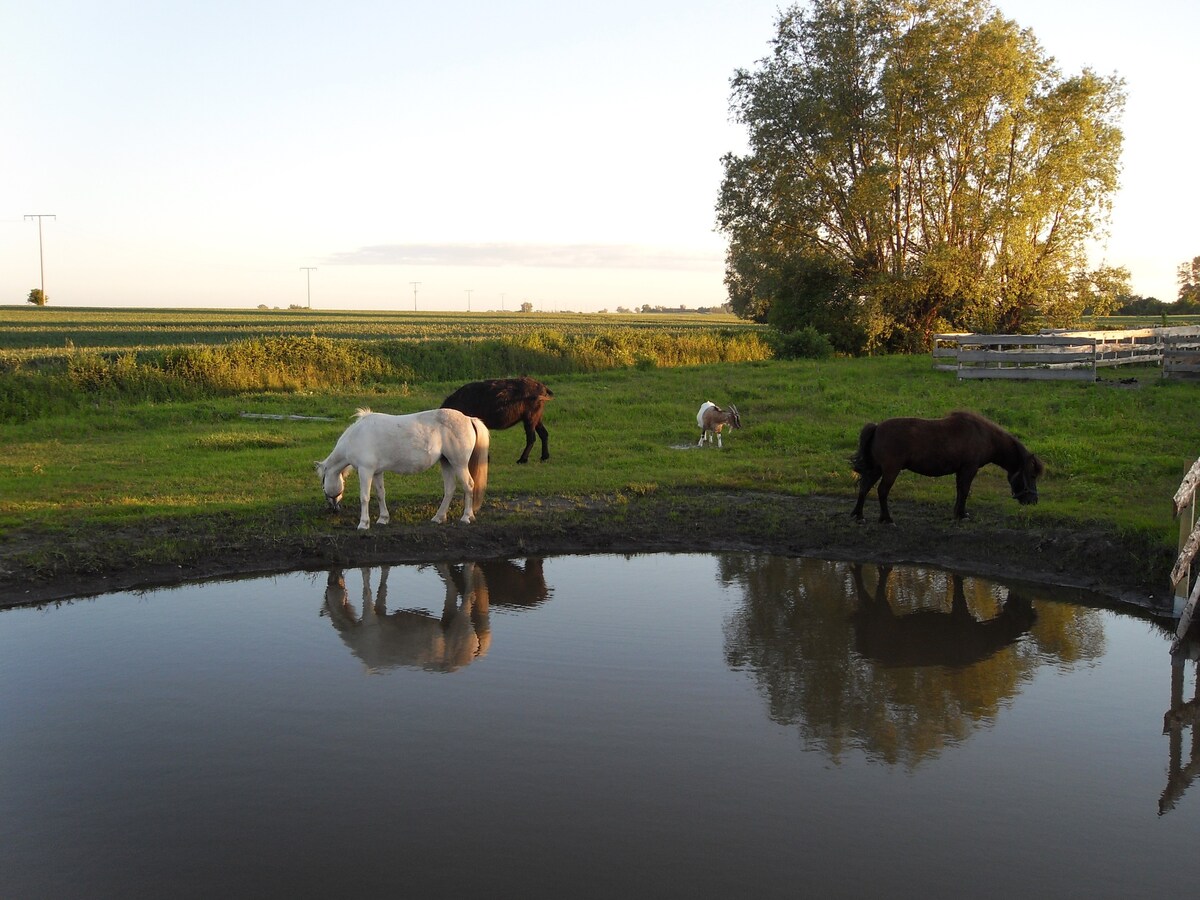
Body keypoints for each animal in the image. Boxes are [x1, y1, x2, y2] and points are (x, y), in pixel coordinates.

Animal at [319, 408, 492, 528]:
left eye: (322, 484)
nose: (333, 508)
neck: (356, 436)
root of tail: (469, 419)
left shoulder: (365, 471)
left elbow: (364, 497)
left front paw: (363, 523)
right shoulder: (377, 472)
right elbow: (380, 494)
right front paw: (383, 519)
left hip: (458, 463)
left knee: (468, 485)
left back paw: (466, 517)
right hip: (446, 463)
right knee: (450, 489)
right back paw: (438, 517)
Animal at [849, 412, 1046, 525]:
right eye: (1032, 475)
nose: (1034, 500)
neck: (984, 435)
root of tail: (877, 428)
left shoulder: (961, 470)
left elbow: (960, 491)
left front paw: (958, 513)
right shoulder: (969, 468)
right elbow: (964, 491)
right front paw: (962, 515)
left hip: (877, 469)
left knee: (865, 488)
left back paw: (858, 515)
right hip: (890, 470)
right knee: (882, 491)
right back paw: (887, 519)